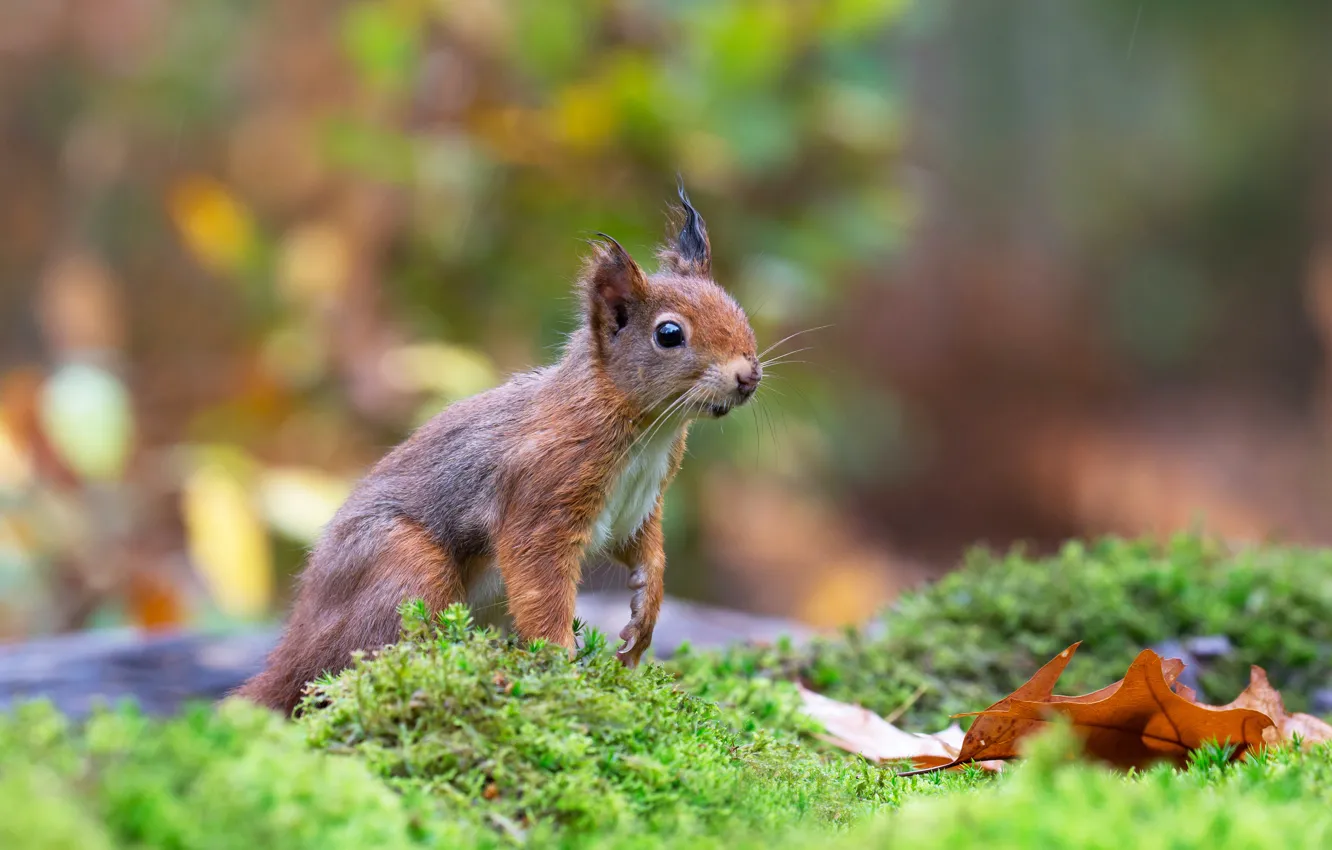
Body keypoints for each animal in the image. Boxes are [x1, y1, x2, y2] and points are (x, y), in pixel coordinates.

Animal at [235, 184, 761, 713]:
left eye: (737, 310)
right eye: (669, 334)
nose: (748, 376)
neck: (650, 430)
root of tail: (299, 639)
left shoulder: (639, 504)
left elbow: (645, 555)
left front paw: (642, 620)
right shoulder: (545, 489)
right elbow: (538, 582)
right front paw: (561, 663)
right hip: (403, 564)